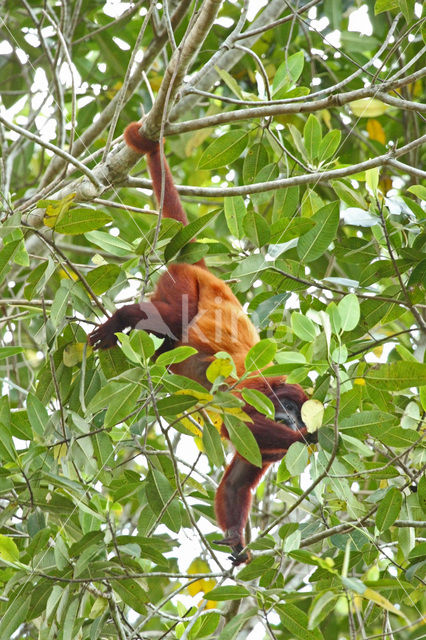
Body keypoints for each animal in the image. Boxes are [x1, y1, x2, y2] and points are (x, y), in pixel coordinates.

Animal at [89, 122, 316, 568]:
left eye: (298, 412)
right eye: (286, 407)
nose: (292, 422)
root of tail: (204, 270)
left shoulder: (264, 451)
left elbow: (238, 483)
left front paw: (236, 541)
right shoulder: (258, 388)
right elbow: (240, 419)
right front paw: (307, 439)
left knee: (169, 340)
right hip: (182, 284)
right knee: (170, 316)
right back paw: (121, 320)